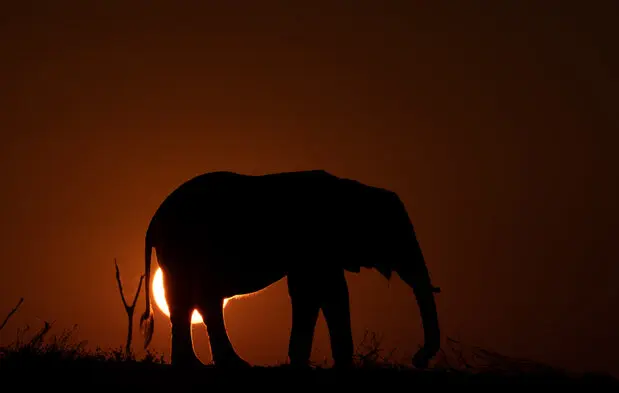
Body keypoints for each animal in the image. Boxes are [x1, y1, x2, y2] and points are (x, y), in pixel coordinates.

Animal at [140, 168, 440, 368]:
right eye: (396, 234)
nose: (419, 360)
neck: (355, 190)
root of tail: (153, 221)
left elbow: (318, 291)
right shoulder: (314, 243)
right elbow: (321, 291)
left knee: (190, 301)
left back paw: (201, 365)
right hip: (187, 247)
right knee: (199, 299)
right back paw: (226, 365)